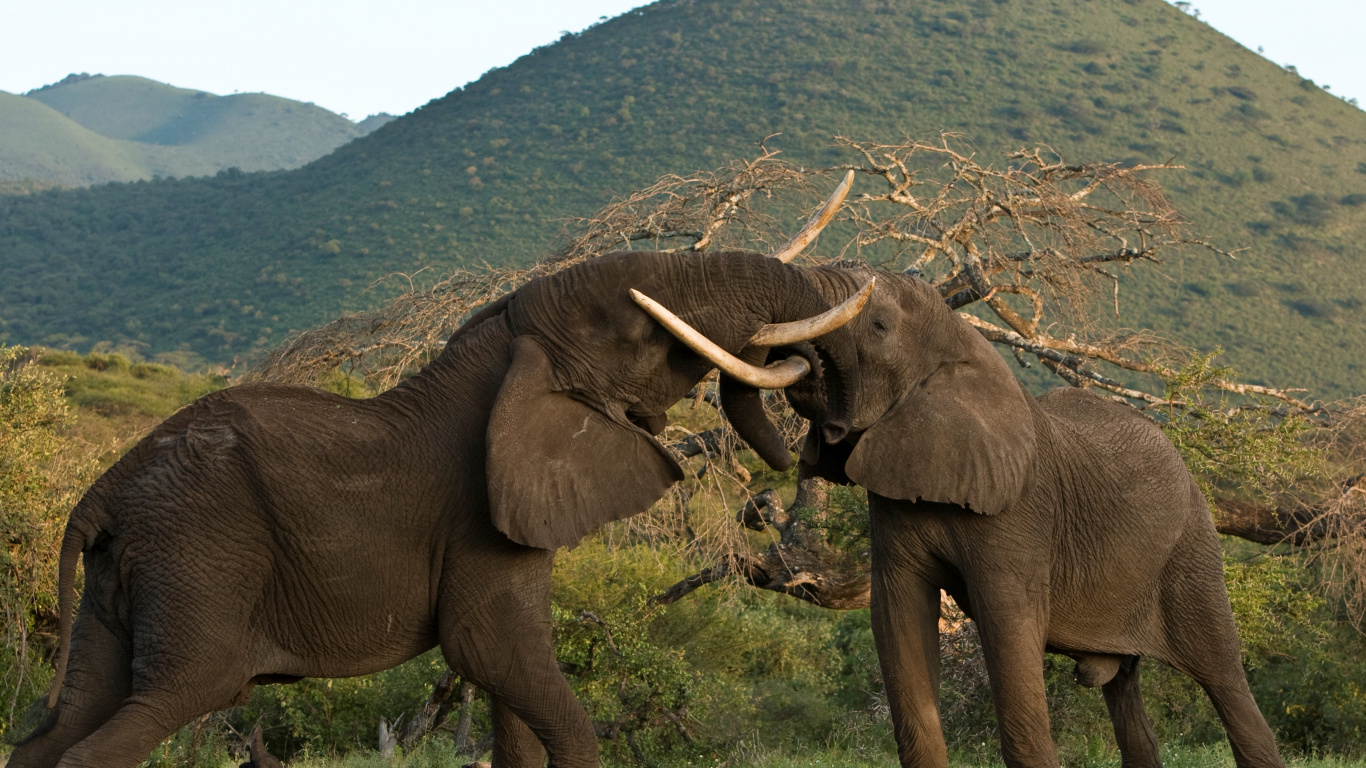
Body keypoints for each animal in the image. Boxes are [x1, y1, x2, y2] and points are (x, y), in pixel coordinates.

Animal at [6, 208, 876, 767]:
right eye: (637, 332)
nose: (812, 437)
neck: (503, 347)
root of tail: (100, 494)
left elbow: (509, 695)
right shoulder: (477, 518)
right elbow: (493, 652)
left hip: (127, 574)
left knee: (62, 725)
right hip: (200, 558)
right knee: (152, 711)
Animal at [726, 264, 1285, 768]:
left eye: (880, 326)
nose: (754, 503)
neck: (963, 344)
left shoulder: (1020, 516)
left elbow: (1008, 629)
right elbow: (898, 620)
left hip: (1191, 550)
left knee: (1226, 682)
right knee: (1126, 693)